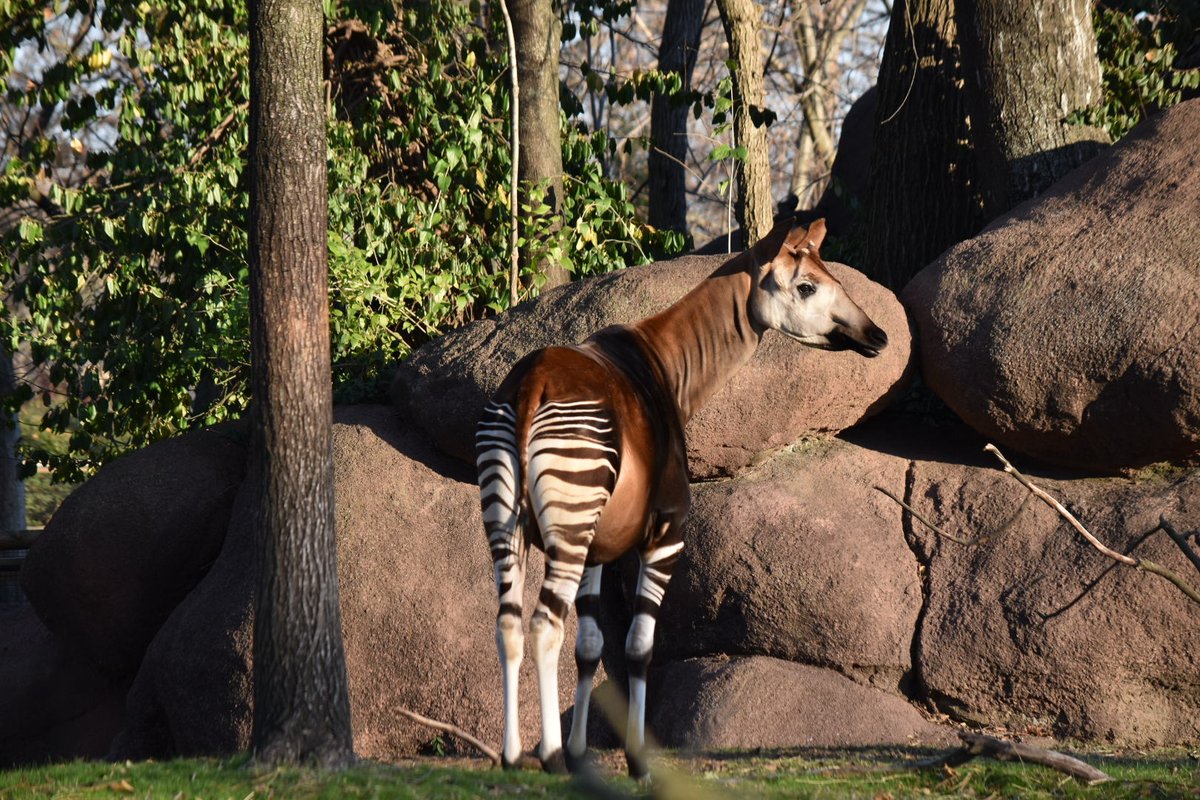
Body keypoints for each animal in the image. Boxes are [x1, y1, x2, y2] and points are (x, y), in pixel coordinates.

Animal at [475, 218, 889, 778]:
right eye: (807, 287)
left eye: (837, 282)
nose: (878, 335)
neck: (667, 369)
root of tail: (530, 388)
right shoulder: (666, 532)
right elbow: (639, 648)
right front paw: (636, 761)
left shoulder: (599, 548)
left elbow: (591, 646)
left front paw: (584, 752)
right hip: (568, 523)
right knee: (543, 626)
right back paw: (550, 756)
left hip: (509, 523)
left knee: (509, 625)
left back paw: (514, 756)